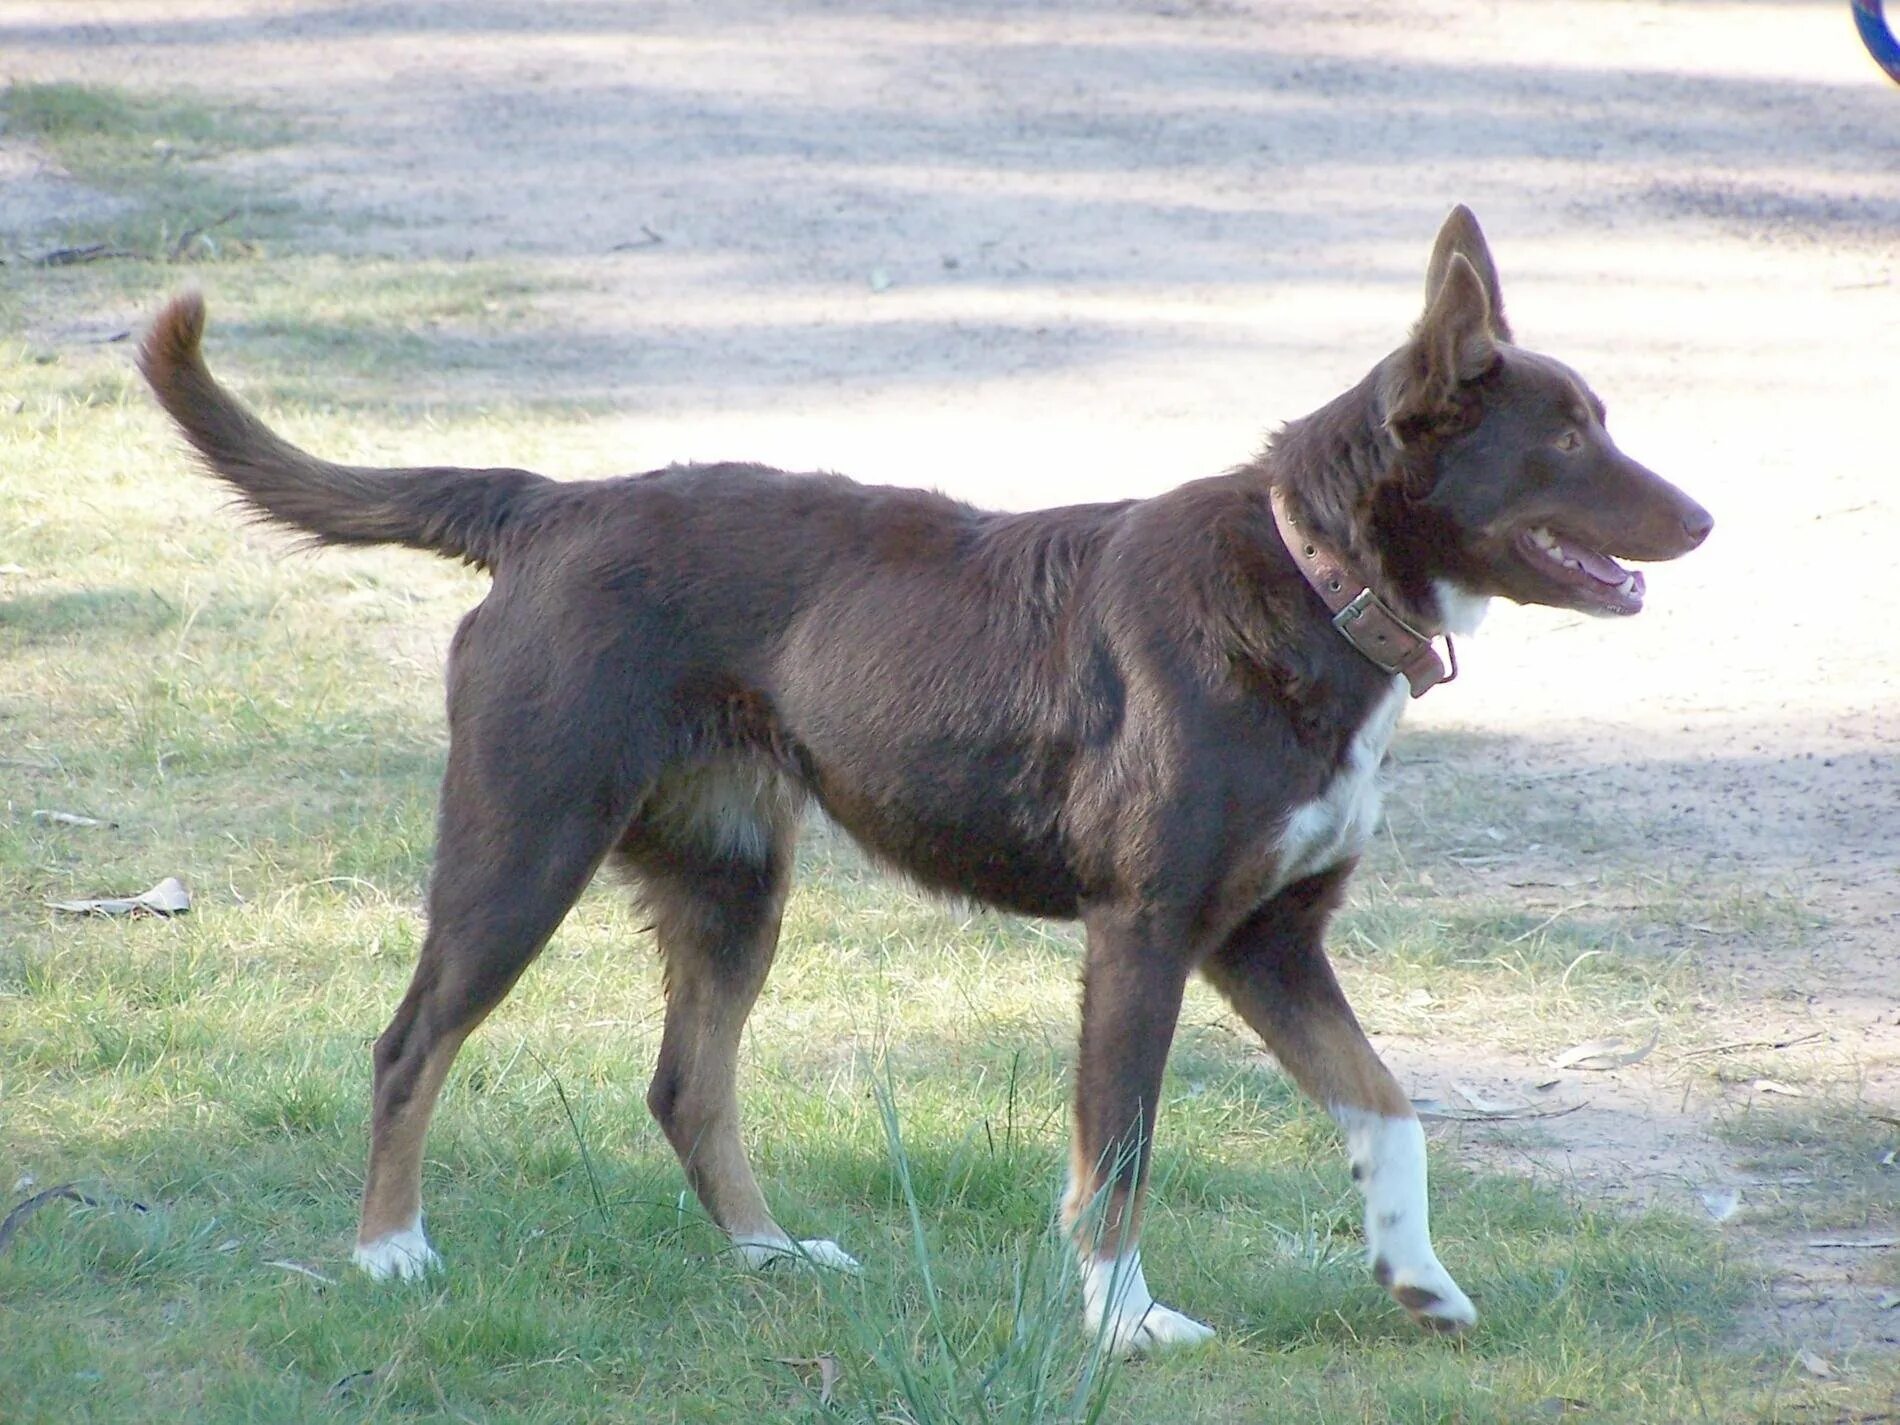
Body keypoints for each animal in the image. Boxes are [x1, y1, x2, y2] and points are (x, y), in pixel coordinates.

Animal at [133, 209, 1710, 1352]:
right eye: (1569, 434)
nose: (1703, 516)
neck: (1313, 582)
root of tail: (552, 507)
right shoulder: (1145, 934)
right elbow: (1118, 1157)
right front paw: (1124, 1328)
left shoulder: (1267, 939)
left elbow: (1387, 1110)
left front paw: (1417, 1277)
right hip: (524, 841)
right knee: (411, 1047)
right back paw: (390, 1253)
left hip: (730, 882)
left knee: (686, 1086)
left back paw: (771, 1255)